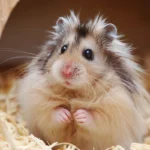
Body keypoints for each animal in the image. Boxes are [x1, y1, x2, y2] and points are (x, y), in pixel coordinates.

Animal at [17, 12, 150, 150]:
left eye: (88, 53)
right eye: (63, 48)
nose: (66, 72)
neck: (74, 91)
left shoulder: (113, 109)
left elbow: (96, 117)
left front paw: (78, 115)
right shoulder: (38, 102)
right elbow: (52, 112)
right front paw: (67, 115)